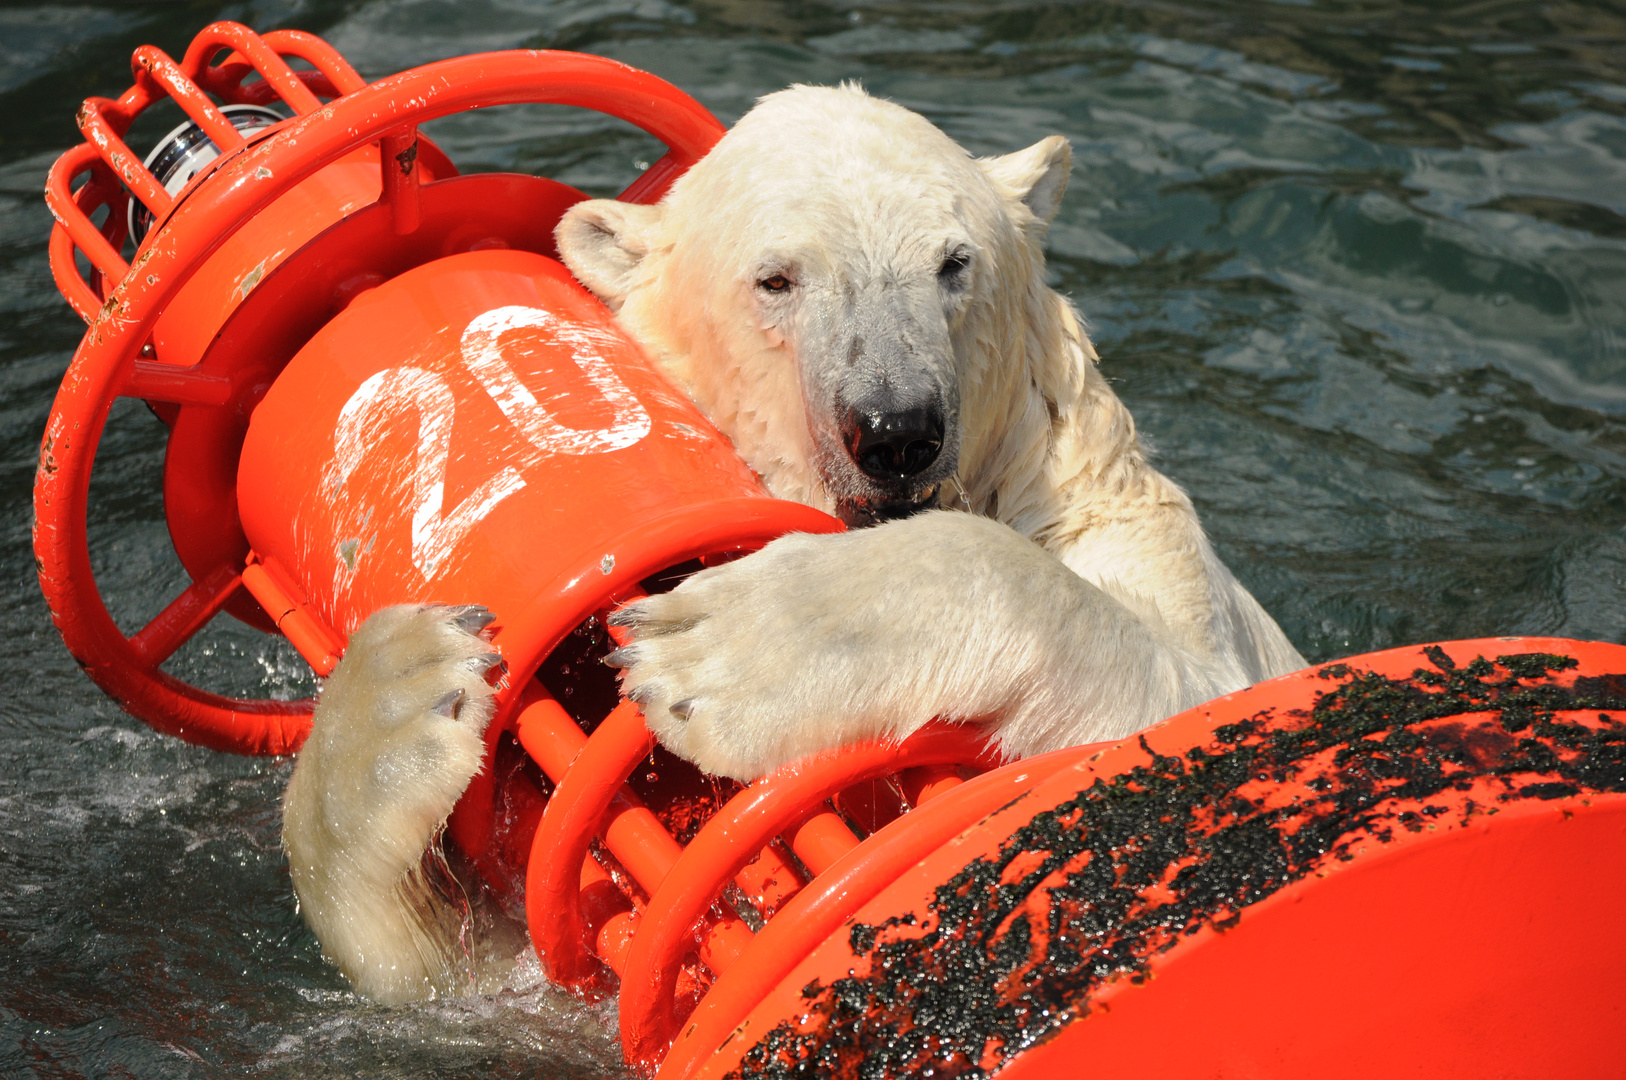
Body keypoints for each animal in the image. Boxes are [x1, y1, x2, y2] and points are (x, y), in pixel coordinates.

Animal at [286, 84, 1307, 1001]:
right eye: (775, 278)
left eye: (954, 263)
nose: (896, 430)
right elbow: (468, 980)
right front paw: (407, 684)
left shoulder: (1114, 519)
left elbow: (1200, 698)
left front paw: (724, 649)